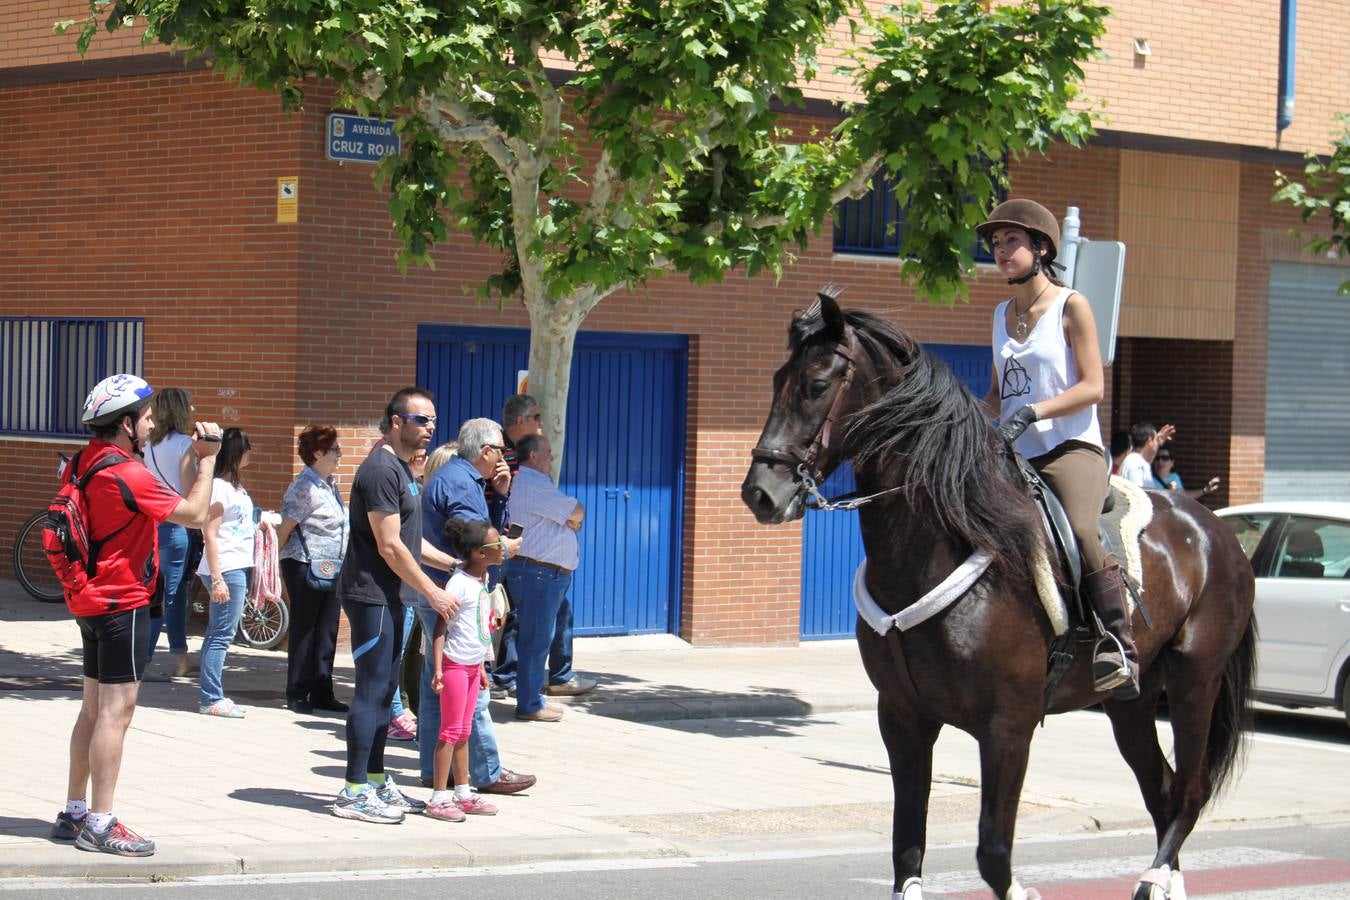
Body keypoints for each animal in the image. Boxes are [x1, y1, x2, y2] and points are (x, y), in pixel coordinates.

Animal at [739, 294, 1252, 900]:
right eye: (778, 379)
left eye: (817, 384)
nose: (759, 493)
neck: (935, 553)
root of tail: (1216, 529)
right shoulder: (903, 719)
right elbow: (906, 848)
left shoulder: (1008, 726)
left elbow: (993, 854)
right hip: (1132, 702)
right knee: (1163, 790)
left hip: (1196, 680)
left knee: (1190, 792)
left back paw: (1154, 879)